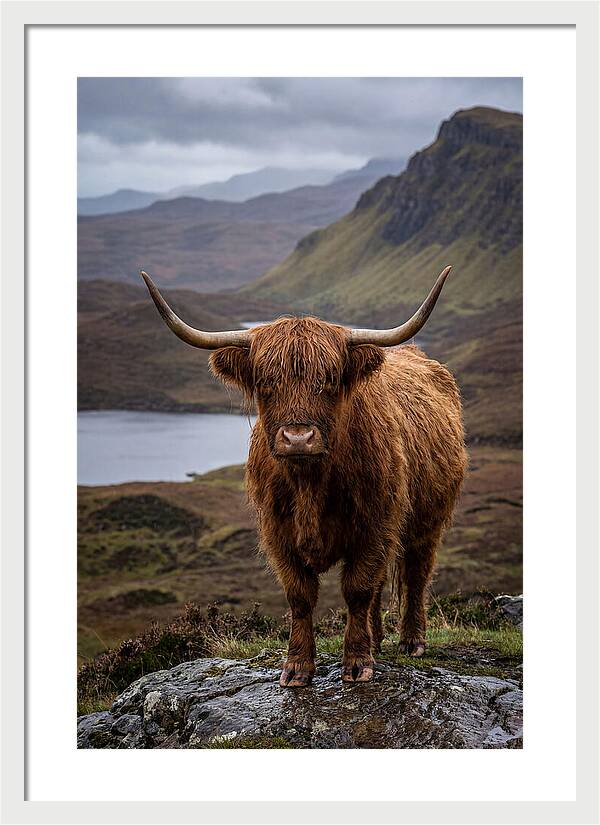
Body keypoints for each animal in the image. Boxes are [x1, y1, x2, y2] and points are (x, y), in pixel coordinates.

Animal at [140, 267, 467, 687]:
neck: (310, 483)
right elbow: (301, 595)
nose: (298, 438)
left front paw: (357, 663)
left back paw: (412, 641)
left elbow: (357, 588)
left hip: (428, 521)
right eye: (266, 382)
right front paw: (297, 667)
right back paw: (378, 640)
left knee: (415, 573)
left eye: (329, 379)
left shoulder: (375, 525)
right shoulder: (278, 533)